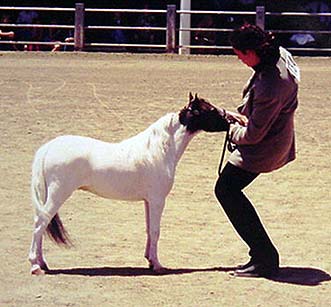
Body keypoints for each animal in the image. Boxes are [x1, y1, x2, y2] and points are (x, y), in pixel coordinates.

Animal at [29, 93, 230, 274]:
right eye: (210, 110)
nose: (229, 122)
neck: (158, 149)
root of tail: (49, 147)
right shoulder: (157, 200)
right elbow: (155, 231)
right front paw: (157, 265)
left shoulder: (148, 201)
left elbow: (149, 230)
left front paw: (149, 260)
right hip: (58, 193)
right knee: (40, 223)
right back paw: (35, 266)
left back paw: (43, 263)